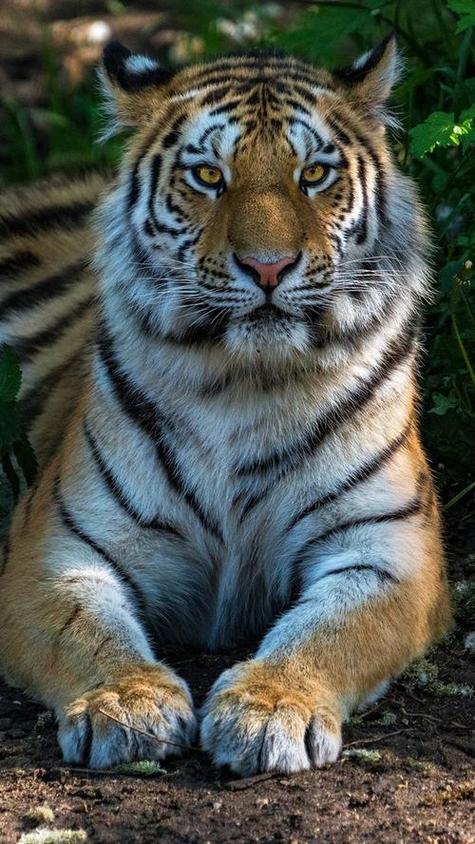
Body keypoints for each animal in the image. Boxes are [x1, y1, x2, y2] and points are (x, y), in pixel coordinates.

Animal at [0, 36, 451, 776]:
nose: (268, 267)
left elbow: (329, 631)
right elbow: (85, 629)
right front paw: (127, 702)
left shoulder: (386, 549)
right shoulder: (55, 546)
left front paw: (271, 707)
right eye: (209, 176)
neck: (247, 384)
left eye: (314, 173)